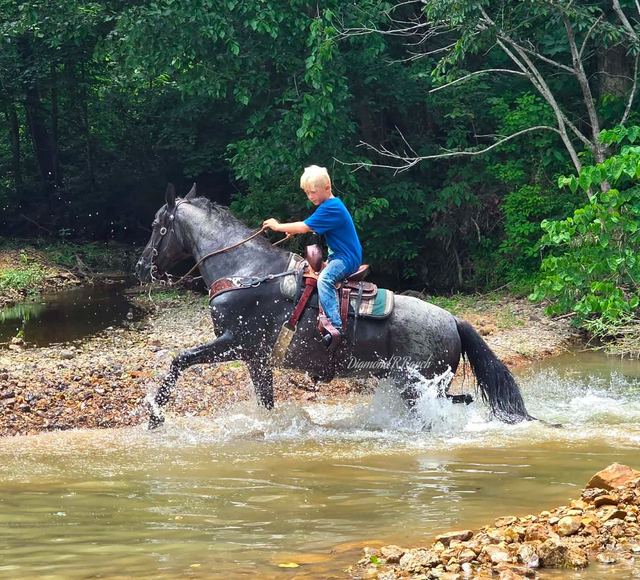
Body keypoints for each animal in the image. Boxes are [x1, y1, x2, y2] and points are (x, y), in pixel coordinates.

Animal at [135, 184, 533, 429]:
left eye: (156, 225)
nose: (141, 267)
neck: (245, 271)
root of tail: (453, 320)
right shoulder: (256, 359)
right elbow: (266, 401)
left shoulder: (237, 343)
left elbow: (180, 360)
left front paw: (155, 415)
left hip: (417, 387)